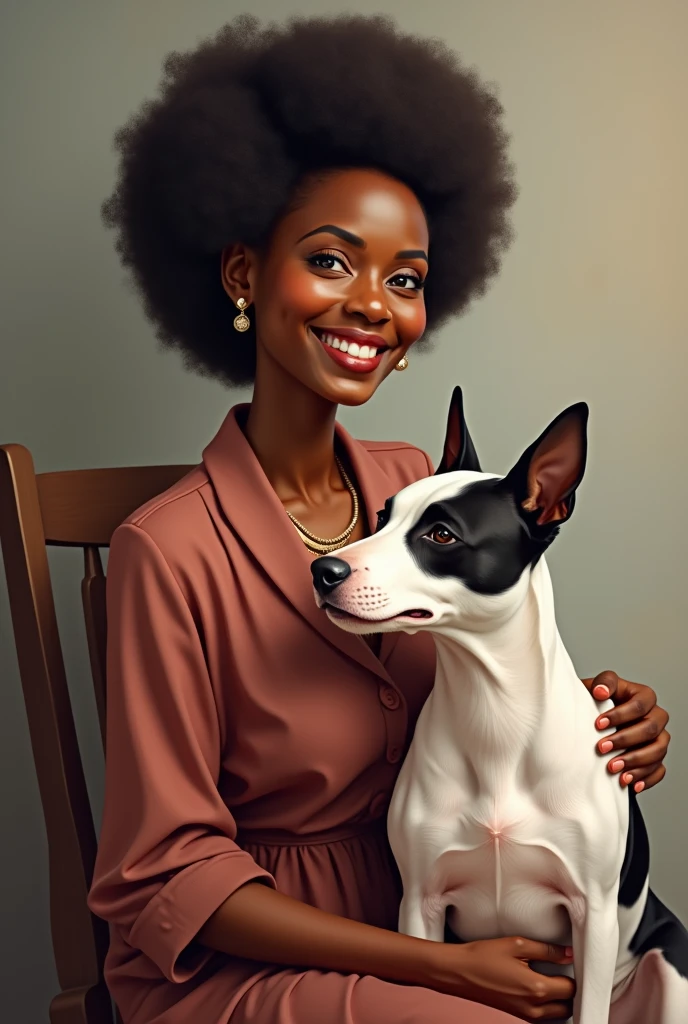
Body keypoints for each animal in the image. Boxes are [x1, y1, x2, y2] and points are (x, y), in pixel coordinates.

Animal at [311, 385, 688, 1024]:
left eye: (441, 536)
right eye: (382, 518)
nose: (323, 568)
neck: (495, 713)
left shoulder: (594, 919)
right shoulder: (421, 906)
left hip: (669, 963)